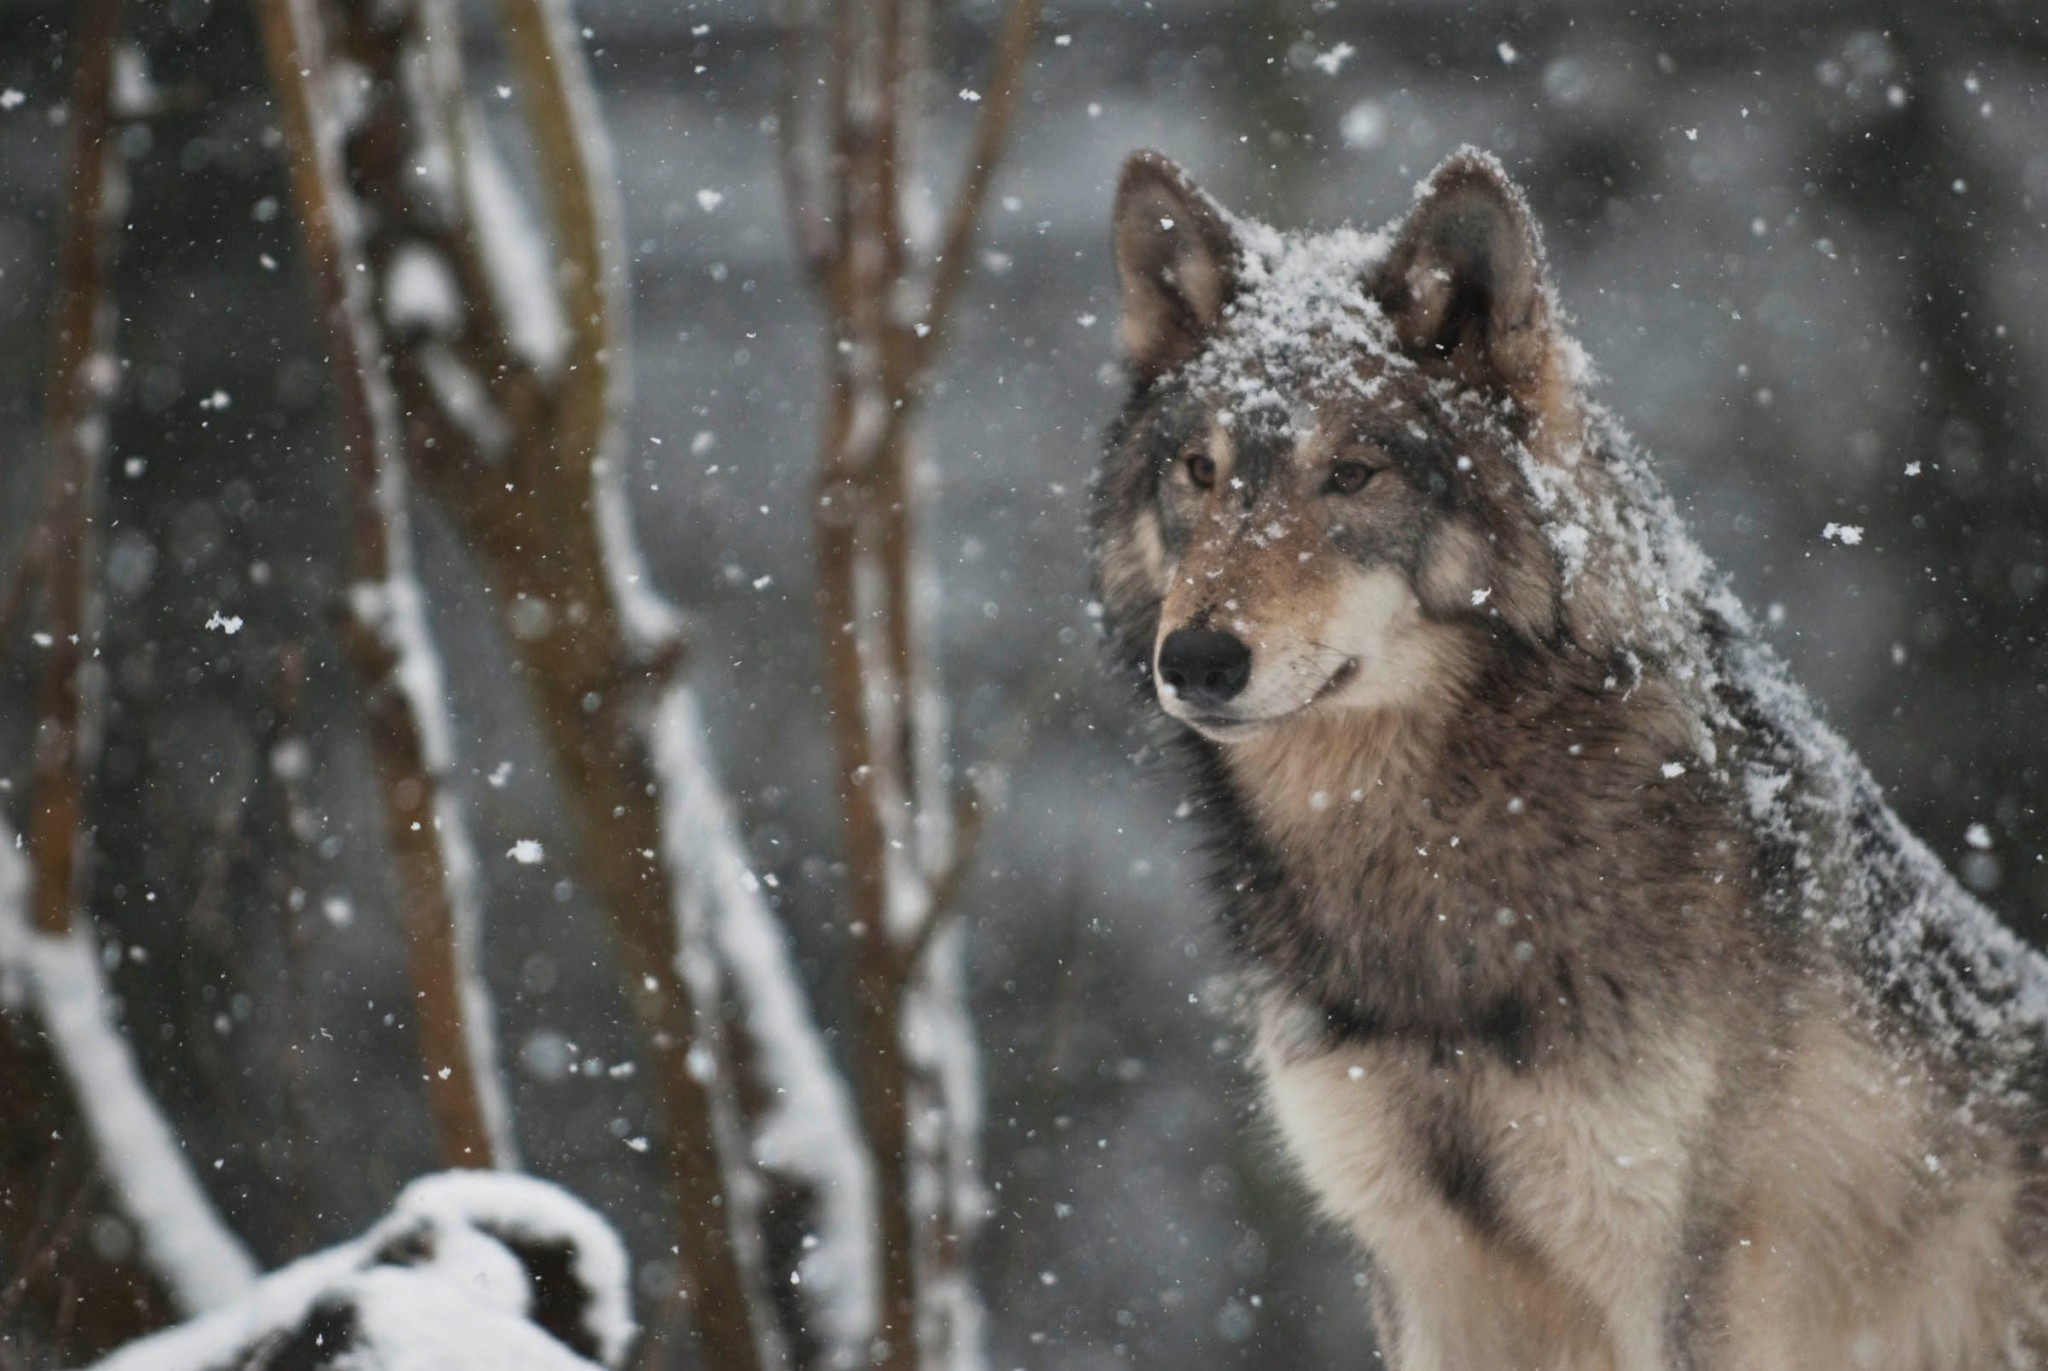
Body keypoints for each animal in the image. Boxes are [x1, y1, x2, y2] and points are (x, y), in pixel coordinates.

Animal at [1091, 146, 2048, 1370]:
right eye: (1199, 471)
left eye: (1352, 474)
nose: (1198, 658)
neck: (1434, 873)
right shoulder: (1421, 1277)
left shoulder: (1682, 1277)